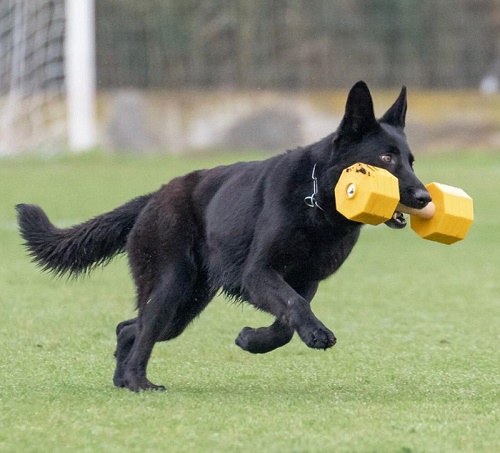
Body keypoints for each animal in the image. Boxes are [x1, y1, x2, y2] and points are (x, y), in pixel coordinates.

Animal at [15, 82, 430, 392]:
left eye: (410, 161)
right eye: (386, 159)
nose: (425, 198)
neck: (317, 200)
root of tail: (152, 198)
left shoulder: (305, 280)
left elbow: (287, 321)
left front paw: (253, 340)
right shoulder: (259, 273)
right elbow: (294, 306)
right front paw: (313, 333)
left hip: (186, 304)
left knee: (129, 328)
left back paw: (123, 379)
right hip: (170, 286)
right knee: (144, 331)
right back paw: (138, 382)